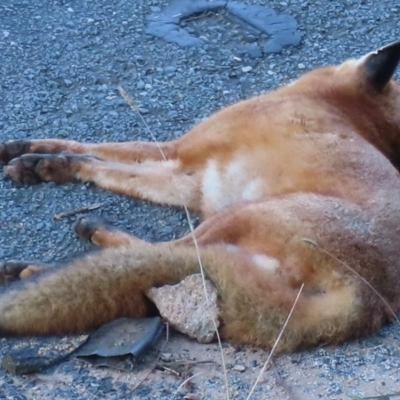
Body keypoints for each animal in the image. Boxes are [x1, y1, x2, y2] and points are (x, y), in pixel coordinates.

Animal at [0, 42, 400, 352]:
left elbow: (97, 155)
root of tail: (372, 300)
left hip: (236, 215)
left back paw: (42, 264)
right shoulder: (190, 181)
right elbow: (105, 161)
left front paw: (47, 163)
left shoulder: (178, 153)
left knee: (163, 255)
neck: (332, 102)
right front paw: (29, 155)